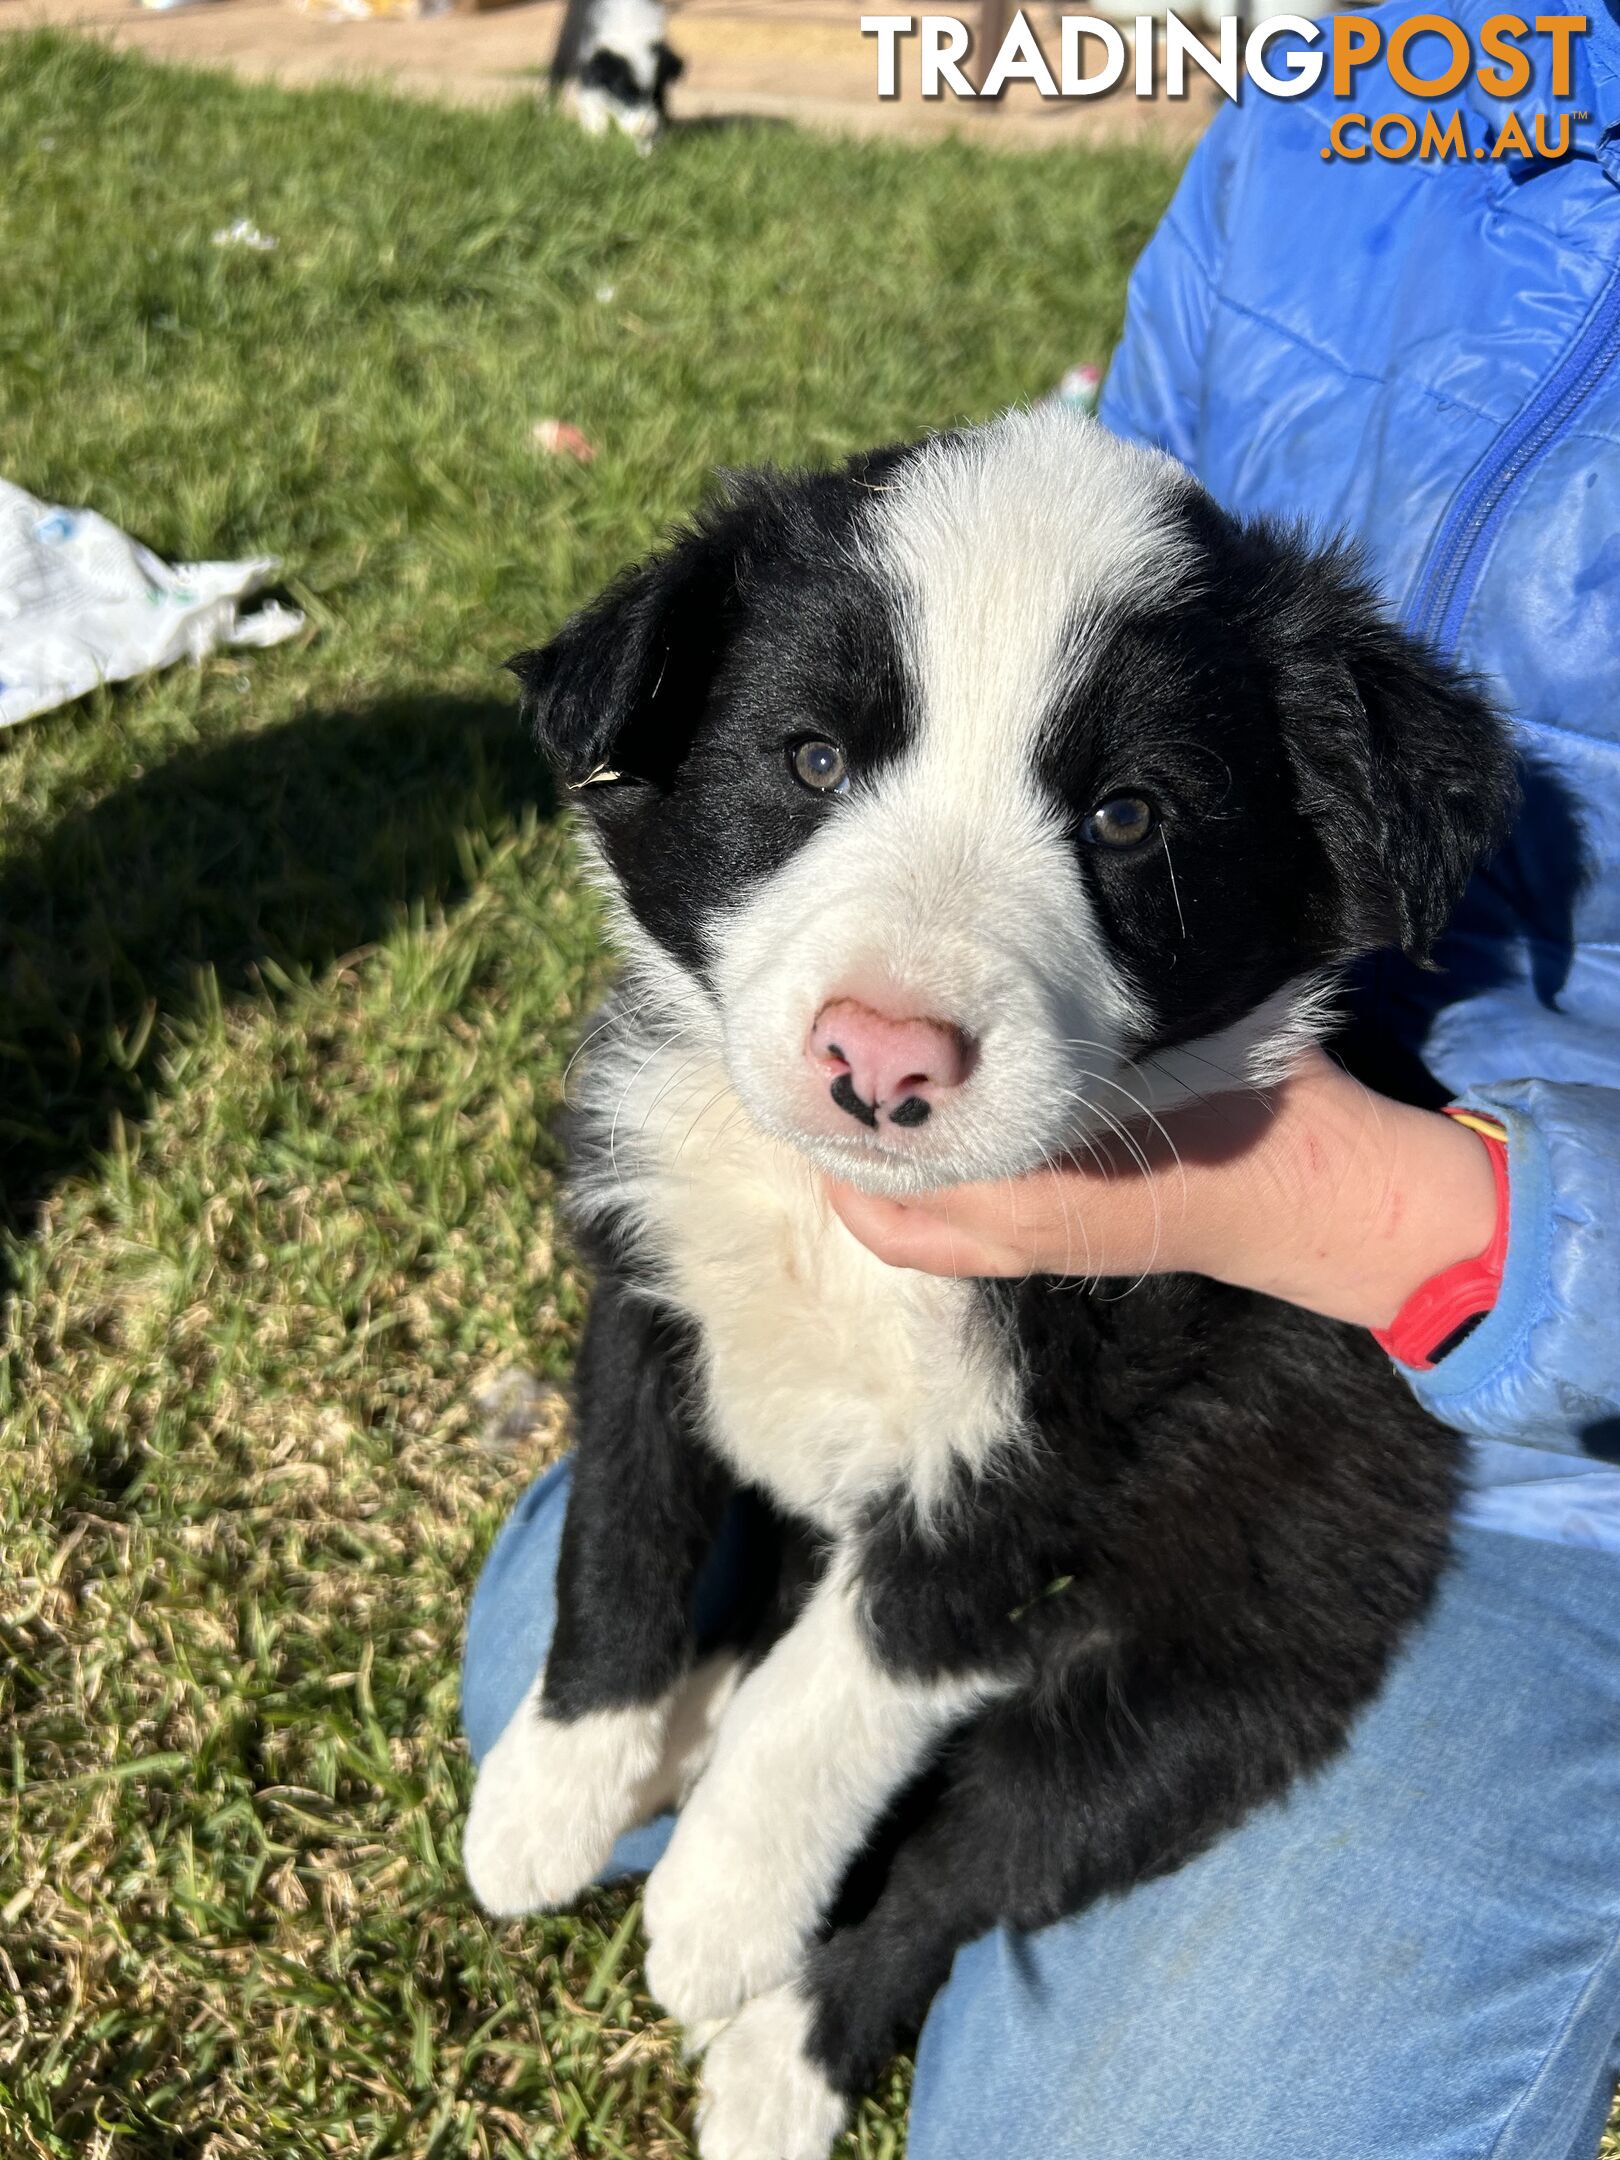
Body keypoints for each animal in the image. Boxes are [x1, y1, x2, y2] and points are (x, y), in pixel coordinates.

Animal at [466, 408, 1520, 2160]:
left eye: (1127, 818)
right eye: (813, 760)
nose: (881, 1059)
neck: (844, 1229)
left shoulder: (1049, 1471)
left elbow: (842, 1689)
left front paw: (717, 1911)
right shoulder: (652, 1286)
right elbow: (617, 1535)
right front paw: (555, 1790)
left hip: (1203, 1688)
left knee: (973, 1862)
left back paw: (780, 2061)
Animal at [552, 0, 686, 150]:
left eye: (656, 94)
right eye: (625, 93)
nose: (646, 129)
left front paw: (646, 149)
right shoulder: (591, 72)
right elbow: (594, 106)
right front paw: (596, 140)